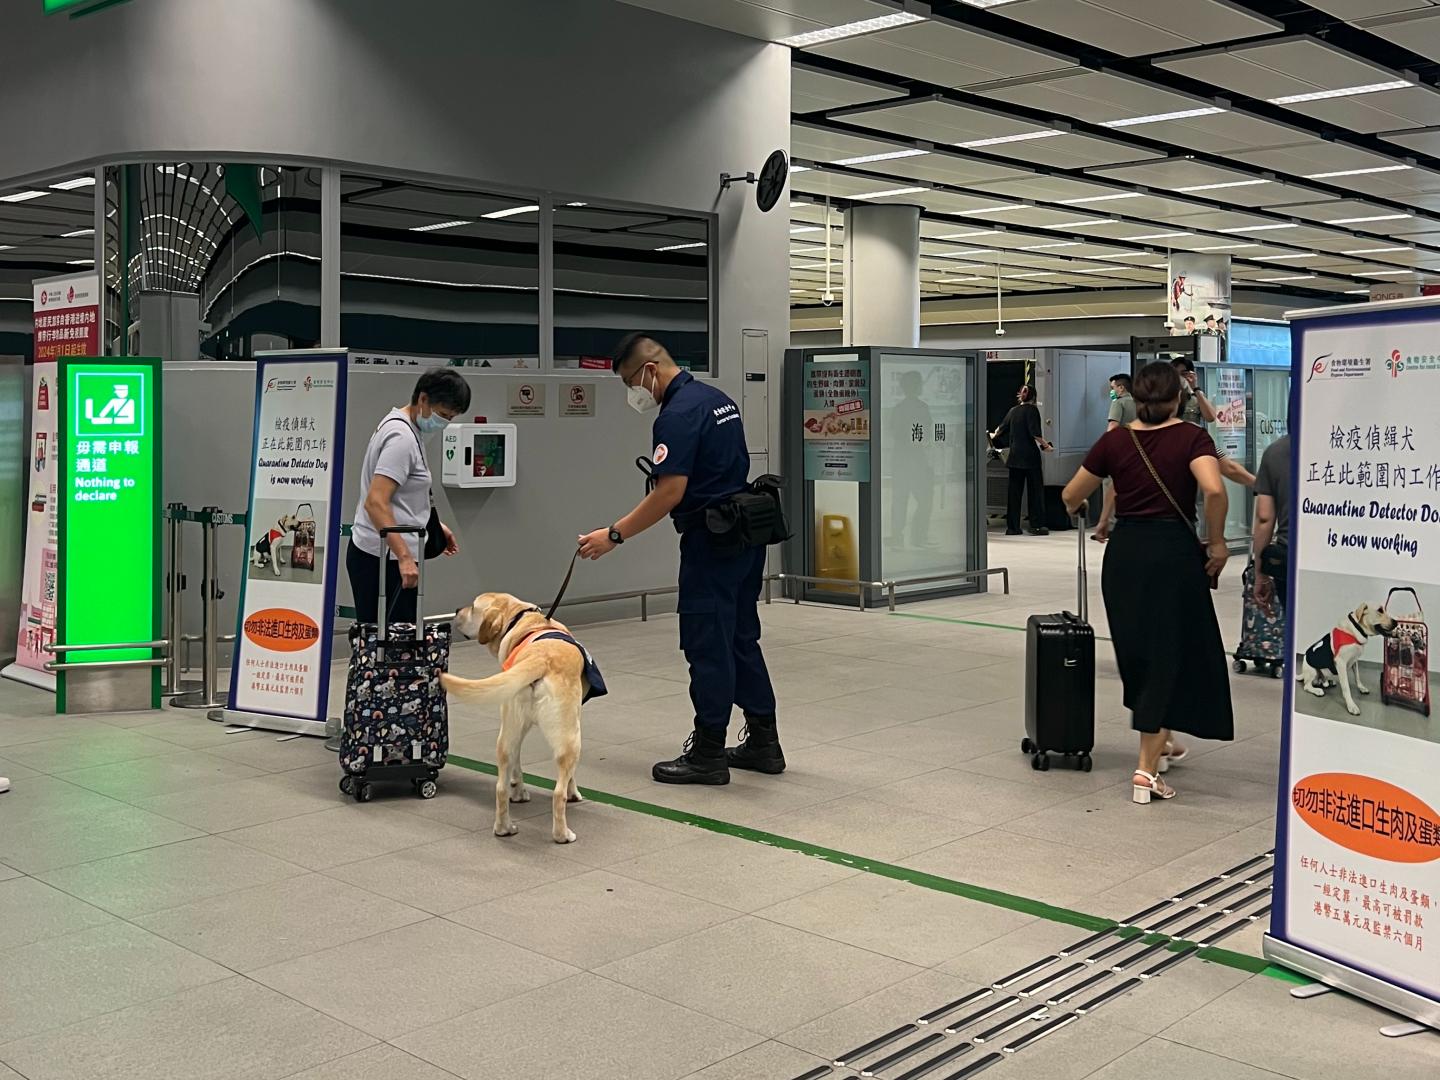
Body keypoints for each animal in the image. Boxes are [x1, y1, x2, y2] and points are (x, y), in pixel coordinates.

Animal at [432, 601, 601, 846]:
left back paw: (504, 827)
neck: (520, 619)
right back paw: (562, 834)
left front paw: (519, 792)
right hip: (570, 739)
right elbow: (570, 778)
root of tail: (539, 658)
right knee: (558, 792)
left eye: (472, 607)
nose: (455, 611)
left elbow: (517, 766)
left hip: (507, 732)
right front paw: (574, 793)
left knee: (500, 787)